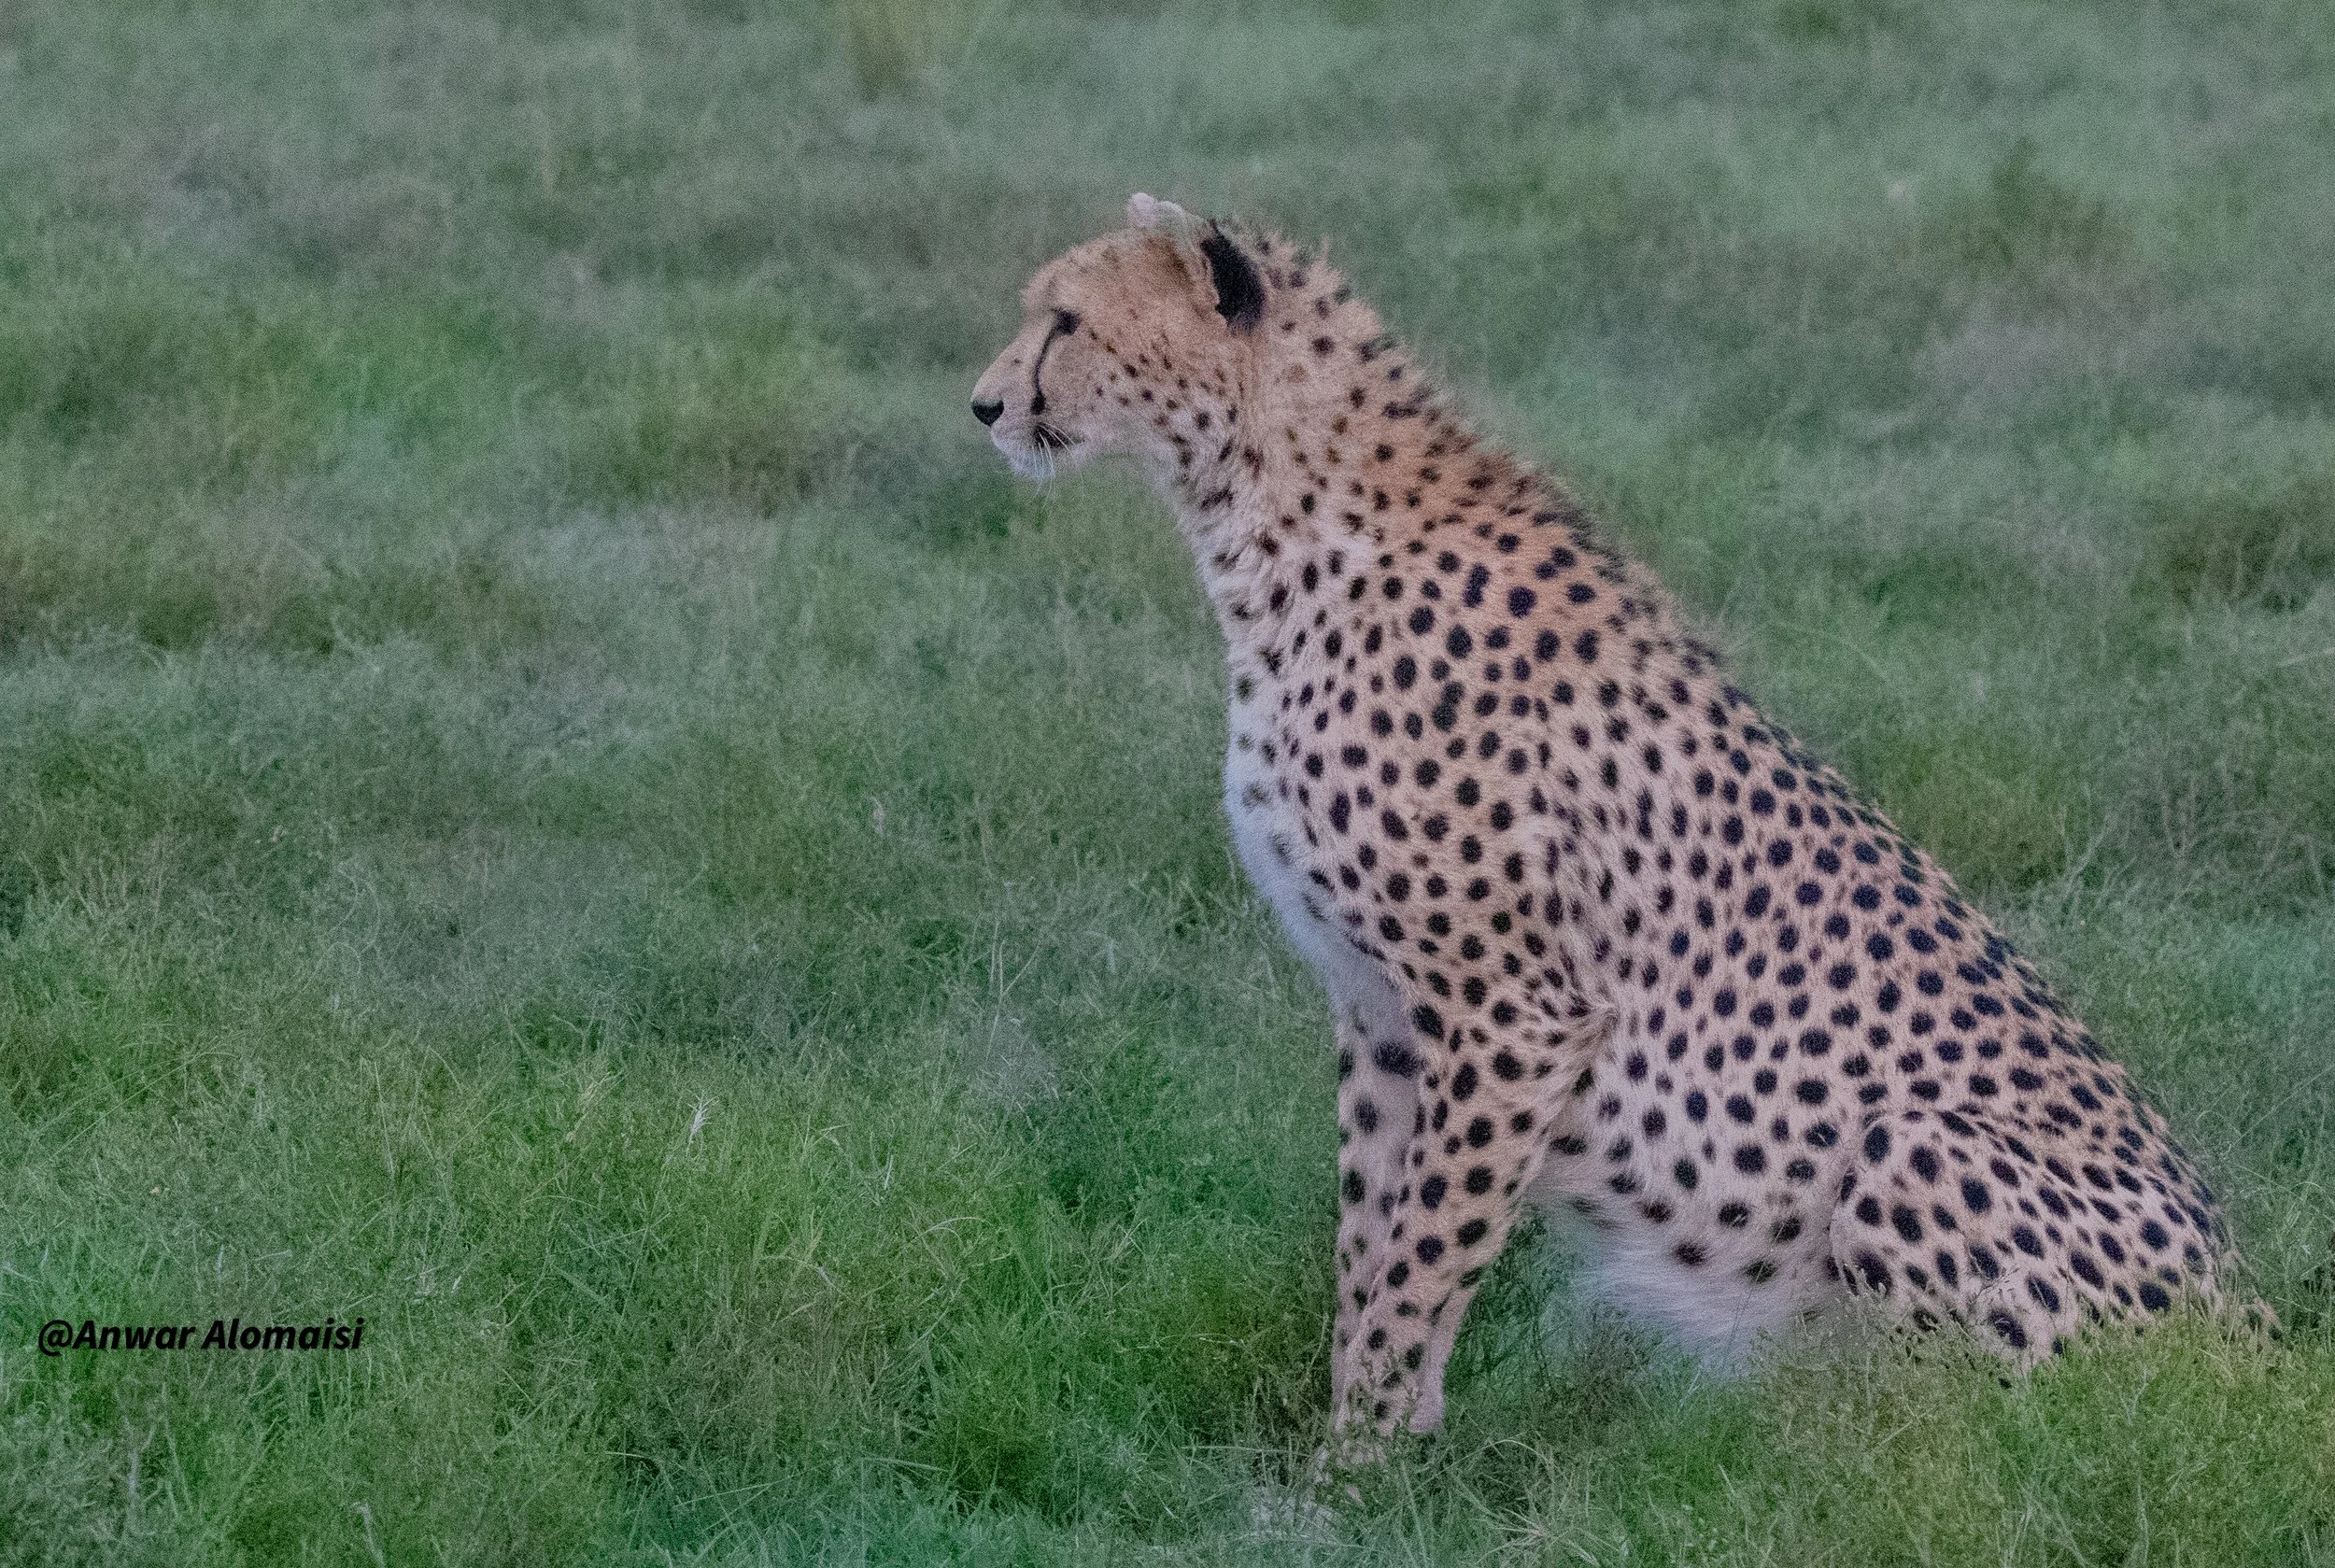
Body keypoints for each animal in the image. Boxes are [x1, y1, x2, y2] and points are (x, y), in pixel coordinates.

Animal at [969, 193, 2249, 1447]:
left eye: (1066, 321)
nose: (983, 404)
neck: (1268, 519)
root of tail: (2259, 1334)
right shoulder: (1382, 1012)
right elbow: (1372, 1238)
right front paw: (1377, 1438)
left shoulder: (1513, 1014)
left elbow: (1419, 1257)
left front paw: (1351, 1466)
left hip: (1915, 1145)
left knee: (2003, 1431)